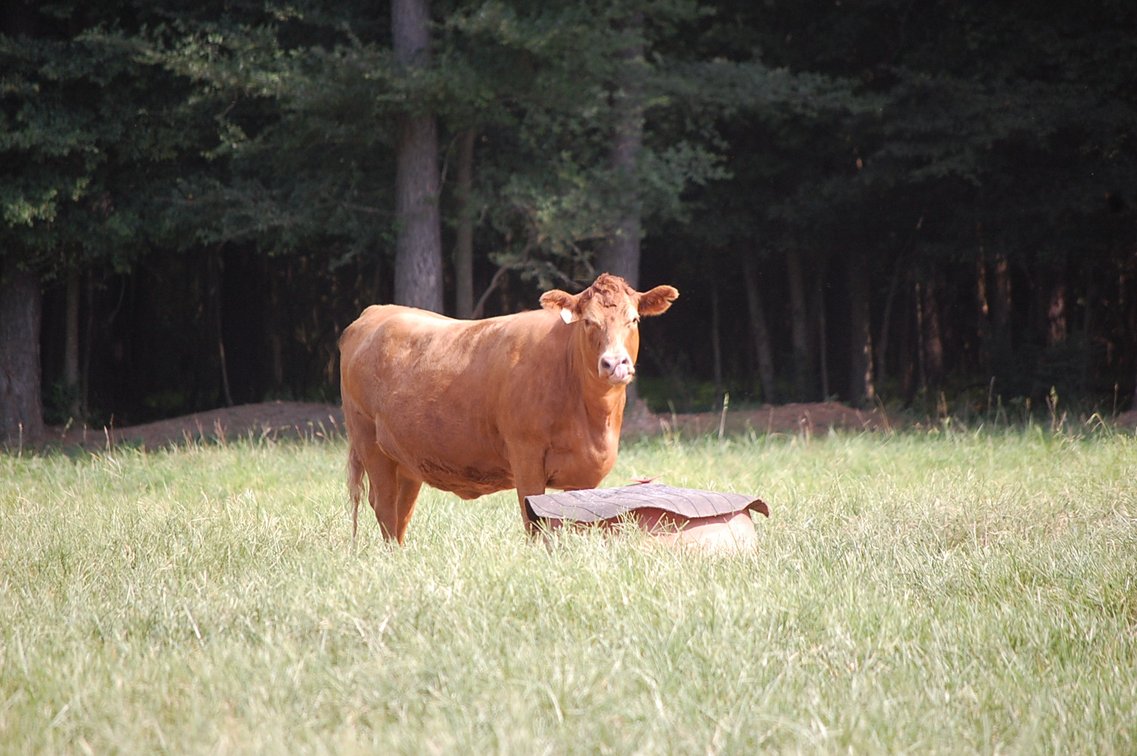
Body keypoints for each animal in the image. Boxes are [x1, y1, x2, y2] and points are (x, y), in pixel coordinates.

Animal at [338, 273, 679, 544]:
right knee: (384, 505)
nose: (614, 363)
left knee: (400, 513)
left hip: (407, 460)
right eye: (588, 321)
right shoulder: (526, 455)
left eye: (633, 319)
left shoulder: (586, 474)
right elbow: (534, 523)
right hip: (368, 440)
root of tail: (377, 312)